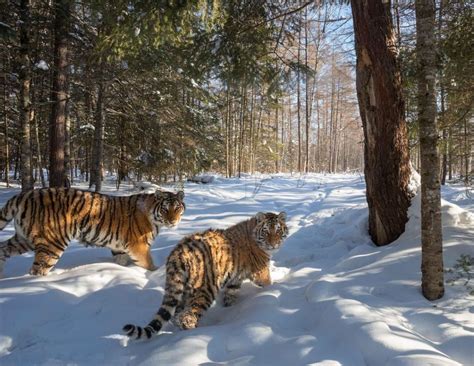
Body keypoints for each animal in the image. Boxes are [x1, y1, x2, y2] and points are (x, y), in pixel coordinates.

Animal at [0, 187, 184, 276]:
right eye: (166, 209)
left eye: (177, 208)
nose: (173, 221)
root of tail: (24, 195)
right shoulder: (139, 246)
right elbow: (148, 265)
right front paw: (155, 273)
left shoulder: (119, 247)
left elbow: (121, 262)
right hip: (52, 244)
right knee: (37, 270)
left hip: (22, 239)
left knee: (3, 249)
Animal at [124, 212, 286, 340]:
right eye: (266, 232)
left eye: (278, 231)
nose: (274, 244)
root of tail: (177, 253)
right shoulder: (260, 271)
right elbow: (268, 283)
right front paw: (276, 288)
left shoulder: (235, 279)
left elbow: (231, 294)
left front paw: (229, 307)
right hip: (205, 289)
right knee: (188, 315)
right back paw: (194, 333)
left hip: (182, 289)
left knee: (177, 313)